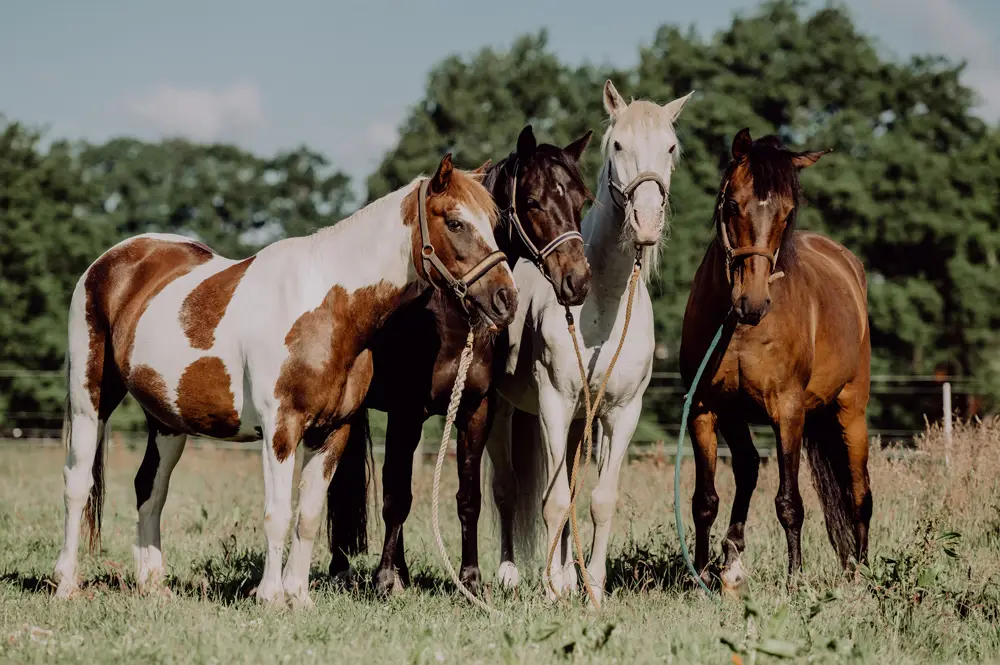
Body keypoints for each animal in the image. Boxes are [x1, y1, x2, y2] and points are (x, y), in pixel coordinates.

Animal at [52, 154, 518, 608]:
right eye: (455, 222)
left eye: (494, 224)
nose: (506, 300)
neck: (326, 309)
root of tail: (112, 260)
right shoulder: (281, 429)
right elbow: (277, 513)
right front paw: (271, 596)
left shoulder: (333, 431)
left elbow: (308, 515)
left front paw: (298, 596)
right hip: (90, 400)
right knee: (77, 483)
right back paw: (66, 583)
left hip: (167, 420)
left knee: (150, 487)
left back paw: (152, 584)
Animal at [324, 125, 595, 596]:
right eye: (532, 202)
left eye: (582, 202)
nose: (576, 281)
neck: (447, 317)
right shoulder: (406, 413)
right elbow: (396, 497)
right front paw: (384, 579)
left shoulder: (475, 409)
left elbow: (468, 498)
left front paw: (470, 579)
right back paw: (346, 569)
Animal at [485, 80, 695, 606]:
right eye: (617, 145)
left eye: (671, 148)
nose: (646, 221)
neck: (602, 302)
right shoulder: (554, 403)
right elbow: (553, 500)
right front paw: (551, 591)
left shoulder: (621, 412)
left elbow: (598, 500)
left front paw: (593, 589)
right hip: (503, 411)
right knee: (507, 488)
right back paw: (512, 574)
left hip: (580, 421)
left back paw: (565, 575)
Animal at [679, 128, 871, 595]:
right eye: (732, 204)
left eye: (786, 214)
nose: (753, 302)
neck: (740, 329)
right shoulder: (706, 410)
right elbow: (705, 499)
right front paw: (701, 574)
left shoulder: (788, 411)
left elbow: (789, 502)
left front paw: (795, 578)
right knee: (748, 467)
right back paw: (731, 558)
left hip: (851, 411)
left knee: (859, 494)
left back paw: (861, 574)